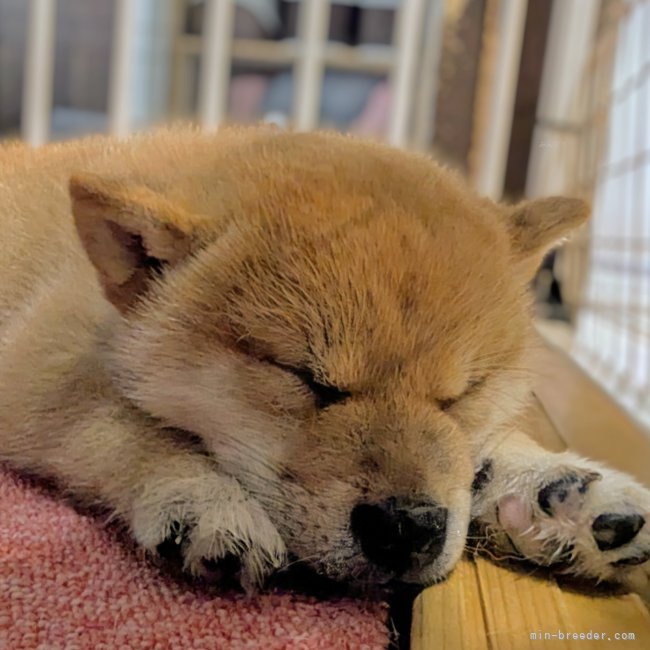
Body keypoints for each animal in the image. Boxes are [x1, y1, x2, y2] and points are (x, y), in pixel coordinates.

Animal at [1, 126, 648, 596]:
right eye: (306, 379)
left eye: (463, 393)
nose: (406, 525)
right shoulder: (37, 367)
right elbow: (125, 425)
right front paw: (203, 494)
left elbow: (478, 451)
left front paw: (553, 485)